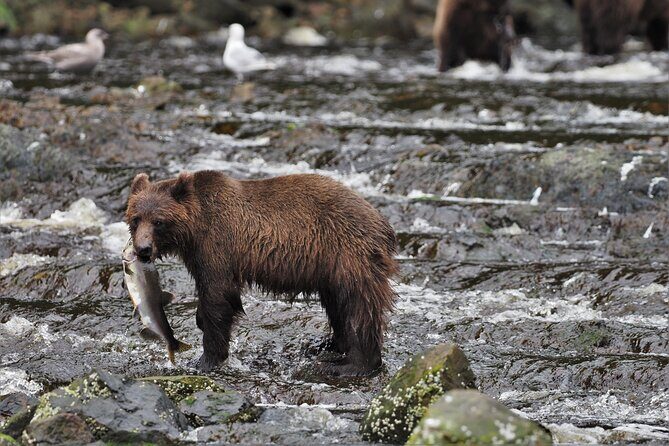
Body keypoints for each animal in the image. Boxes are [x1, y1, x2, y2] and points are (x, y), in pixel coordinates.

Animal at [125, 170, 399, 376]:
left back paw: (351, 365)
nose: (143, 249)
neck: (194, 229)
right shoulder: (198, 254)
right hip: (331, 270)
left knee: (359, 307)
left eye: (158, 221)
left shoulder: (217, 245)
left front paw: (206, 359)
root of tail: (383, 223)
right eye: (136, 218)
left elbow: (218, 296)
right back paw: (327, 347)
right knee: (338, 306)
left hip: (349, 254)